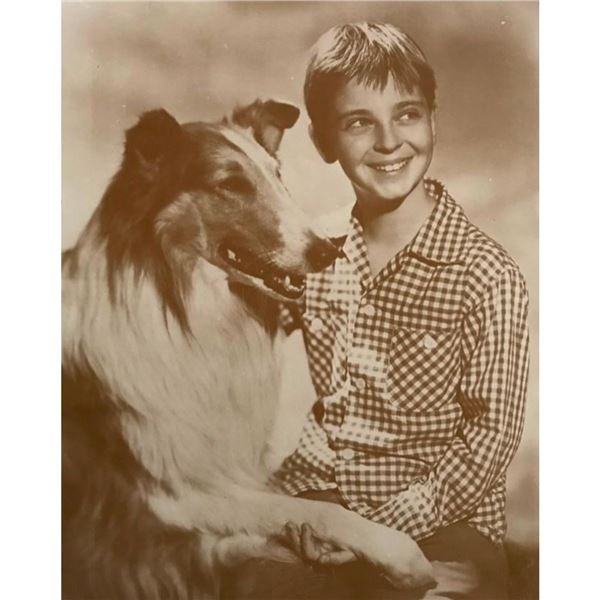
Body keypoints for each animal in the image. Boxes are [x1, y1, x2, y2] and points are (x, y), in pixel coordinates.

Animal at [62, 99, 434, 599]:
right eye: (231, 184)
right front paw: (399, 553)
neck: (180, 308)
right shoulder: (167, 497)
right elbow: (312, 509)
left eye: (278, 175)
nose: (327, 250)